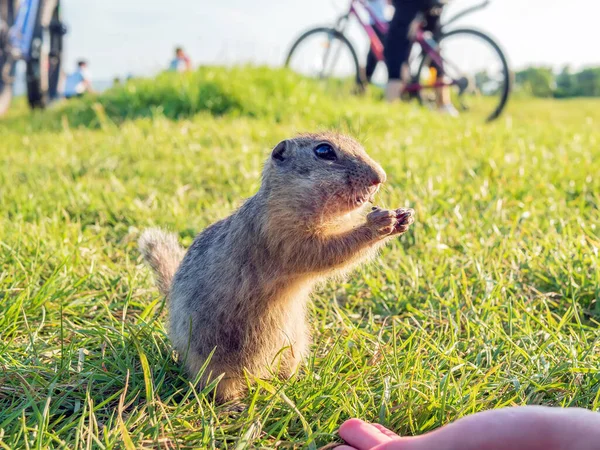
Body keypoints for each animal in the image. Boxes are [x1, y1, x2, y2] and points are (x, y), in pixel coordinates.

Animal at [139, 132, 414, 402]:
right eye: (324, 151)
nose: (380, 177)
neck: (286, 199)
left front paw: (403, 218)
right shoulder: (281, 234)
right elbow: (325, 251)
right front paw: (379, 223)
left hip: (293, 347)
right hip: (214, 363)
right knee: (219, 387)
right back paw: (234, 405)